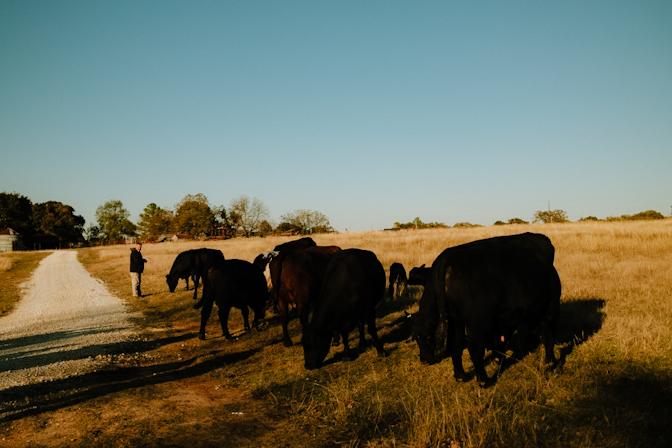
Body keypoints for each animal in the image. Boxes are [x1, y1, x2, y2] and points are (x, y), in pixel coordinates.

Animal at [412, 234, 560, 384]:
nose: (424, 360)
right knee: (474, 347)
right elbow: (547, 336)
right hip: (477, 321)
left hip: (458, 321)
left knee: (457, 345)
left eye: (426, 337)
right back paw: (484, 380)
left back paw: (461, 376)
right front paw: (550, 363)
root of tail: (446, 260)